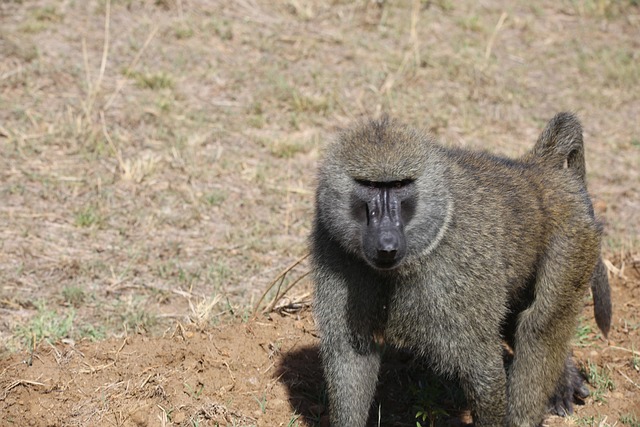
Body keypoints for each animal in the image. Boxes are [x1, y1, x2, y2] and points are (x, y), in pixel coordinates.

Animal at [310, 113, 611, 426]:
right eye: (370, 186)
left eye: (400, 185)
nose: (387, 243)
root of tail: (539, 168)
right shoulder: (334, 249)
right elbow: (351, 354)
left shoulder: (458, 274)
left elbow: (482, 368)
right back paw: (565, 381)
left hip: (573, 237)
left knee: (539, 326)